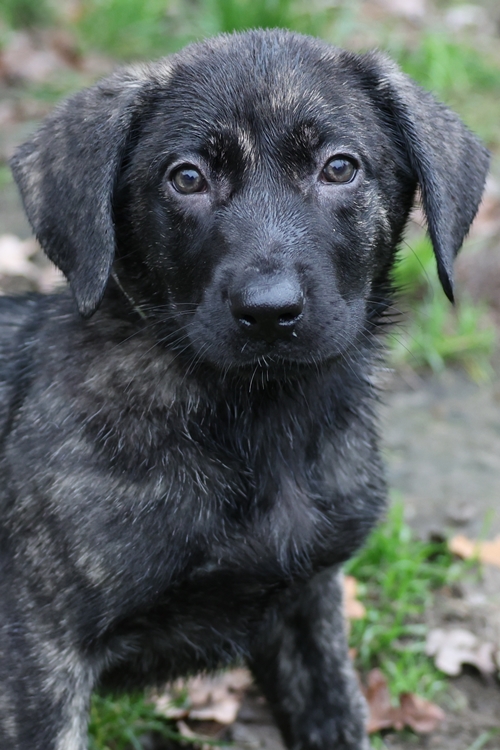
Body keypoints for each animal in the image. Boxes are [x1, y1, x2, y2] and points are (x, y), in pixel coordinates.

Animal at [0, 27, 488, 750]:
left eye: (339, 168)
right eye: (187, 178)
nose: (268, 312)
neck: (258, 418)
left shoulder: (308, 608)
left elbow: (336, 717)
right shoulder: (40, 655)